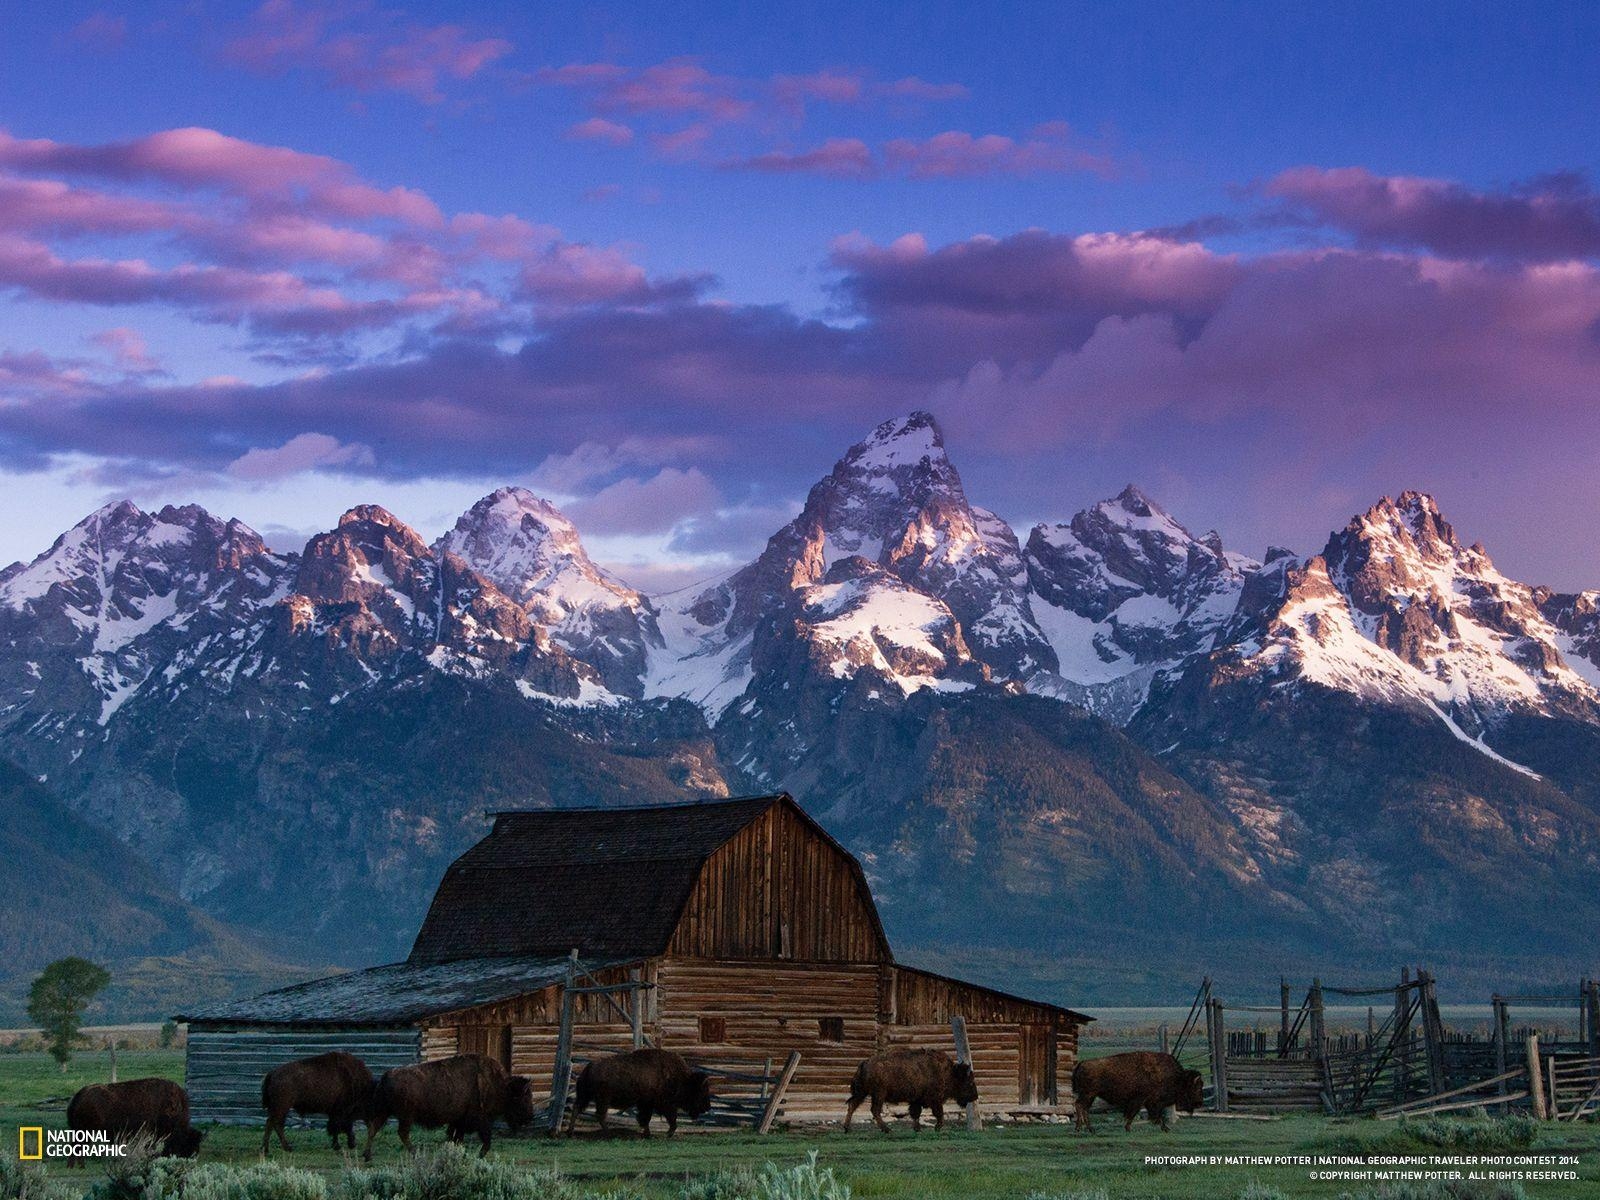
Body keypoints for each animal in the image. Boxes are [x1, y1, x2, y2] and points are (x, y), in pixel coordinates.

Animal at [363, 1056, 537, 1158]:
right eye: (524, 1097)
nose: (530, 1117)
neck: (499, 1085)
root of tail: (386, 1075)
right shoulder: (479, 1119)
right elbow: (486, 1138)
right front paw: (480, 1154)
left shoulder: (459, 1122)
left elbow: (457, 1138)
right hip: (406, 1116)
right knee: (401, 1133)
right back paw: (414, 1153)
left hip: (385, 1112)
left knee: (373, 1128)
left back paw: (367, 1155)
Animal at [566, 1049, 710, 1139]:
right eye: (701, 1091)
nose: (707, 1107)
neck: (680, 1078)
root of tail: (588, 1068)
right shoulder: (662, 1104)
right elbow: (668, 1118)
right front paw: (667, 1133)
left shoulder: (646, 1104)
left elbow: (645, 1119)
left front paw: (648, 1134)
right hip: (602, 1099)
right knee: (599, 1115)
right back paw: (608, 1133)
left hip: (587, 1096)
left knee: (577, 1108)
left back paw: (570, 1132)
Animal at [844, 1049, 979, 1132]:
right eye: (969, 1082)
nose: (975, 1096)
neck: (950, 1073)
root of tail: (864, 1063)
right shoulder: (935, 1099)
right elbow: (938, 1113)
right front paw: (937, 1127)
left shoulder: (916, 1100)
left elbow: (915, 1113)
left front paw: (917, 1129)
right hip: (878, 1094)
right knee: (874, 1110)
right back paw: (887, 1130)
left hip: (862, 1093)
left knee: (852, 1105)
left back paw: (847, 1129)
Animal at [1075, 1056, 1203, 1132]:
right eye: (1195, 1088)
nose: (1199, 1103)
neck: (1177, 1078)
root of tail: (1082, 1064)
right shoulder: (1144, 1100)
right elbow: (1137, 1114)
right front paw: (1128, 1128)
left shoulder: (1147, 1102)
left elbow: (1152, 1115)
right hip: (1088, 1094)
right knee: (1081, 1106)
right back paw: (1083, 1128)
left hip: (1089, 1095)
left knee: (1082, 1107)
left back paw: (1085, 1128)